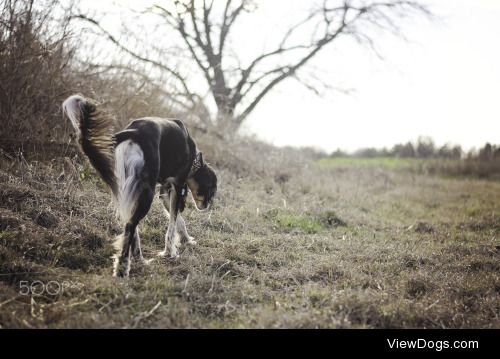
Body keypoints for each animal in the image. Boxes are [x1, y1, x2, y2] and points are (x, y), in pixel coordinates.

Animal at [62, 94, 217, 278]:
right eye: (212, 188)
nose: (208, 205)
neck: (193, 155)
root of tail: (134, 133)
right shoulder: (177, 187)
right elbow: (172, 224)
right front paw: (170, 252)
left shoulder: (165, 192)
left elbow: (178, 220)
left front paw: (186, 239)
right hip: (146, 191)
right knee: (130, 225)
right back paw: (122, 268)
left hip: (128, 186)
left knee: (130, 224)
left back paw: (138, 258)